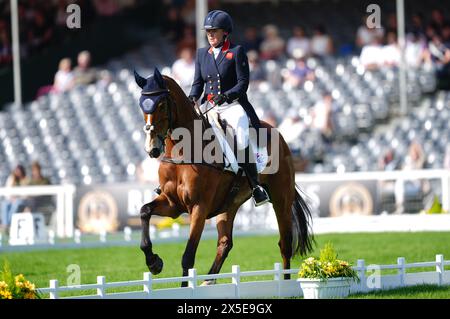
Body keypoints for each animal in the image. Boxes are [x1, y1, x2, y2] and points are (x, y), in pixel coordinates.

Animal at [134, 69, 312, 286]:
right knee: (225, 242)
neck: (183, 151)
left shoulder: (199, 207)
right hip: (229, 204)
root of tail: (278, 135)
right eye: (141, 105)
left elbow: (188, 256)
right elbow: (144, 211)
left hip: (281, 198)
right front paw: (154, 263)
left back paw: (284, 283)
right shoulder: (173, 204)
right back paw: (208, 281)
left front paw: (183, 286)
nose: (151, 149)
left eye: (161, 104)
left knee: (285, 244)